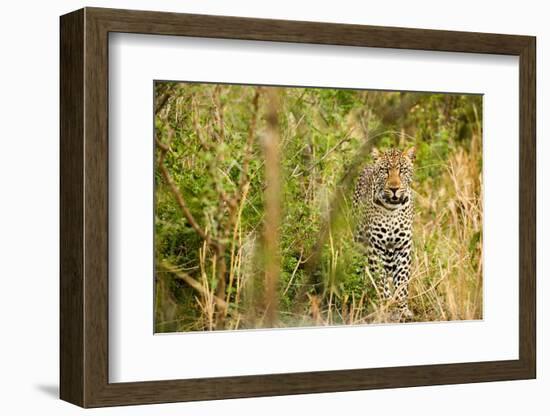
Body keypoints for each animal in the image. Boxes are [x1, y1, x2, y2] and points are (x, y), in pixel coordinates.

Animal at [354, 147, 418, 322]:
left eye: (402, 170)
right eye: (385, 171)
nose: (394, 188)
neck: (391, 211)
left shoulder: (403, 248)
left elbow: (402, 282)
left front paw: (402, 309)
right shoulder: (374, 248)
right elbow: (381, 282)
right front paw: (387, 306)